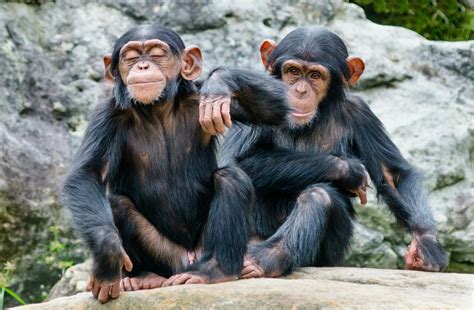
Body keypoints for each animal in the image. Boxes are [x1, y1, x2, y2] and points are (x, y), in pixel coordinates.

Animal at [206, 27, 448, 278]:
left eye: (315, 75)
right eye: (292, 71)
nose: (300, 90)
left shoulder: (361, 113)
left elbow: (393, 175)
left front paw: (426, 246)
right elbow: (239, 161)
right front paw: (349, 170)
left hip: (326, 257)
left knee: (319, 196)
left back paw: (267, 259)